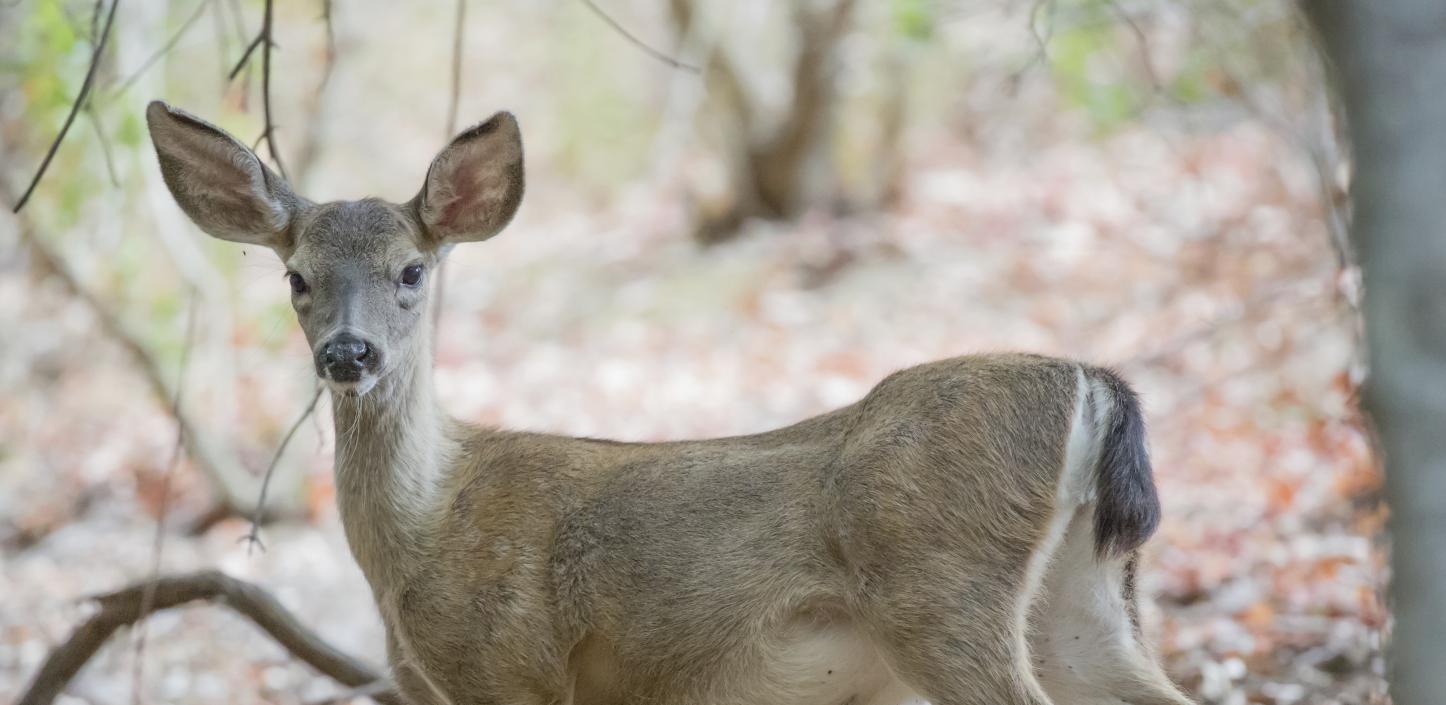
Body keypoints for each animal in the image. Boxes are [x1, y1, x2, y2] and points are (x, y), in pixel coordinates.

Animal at [146, 100, 1191, 705]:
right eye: (295, 277)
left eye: (411, 270)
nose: (348, 353)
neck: (426, 526)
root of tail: (1090, 382)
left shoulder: (512, 666)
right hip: (1081, 598)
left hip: (942, 591)